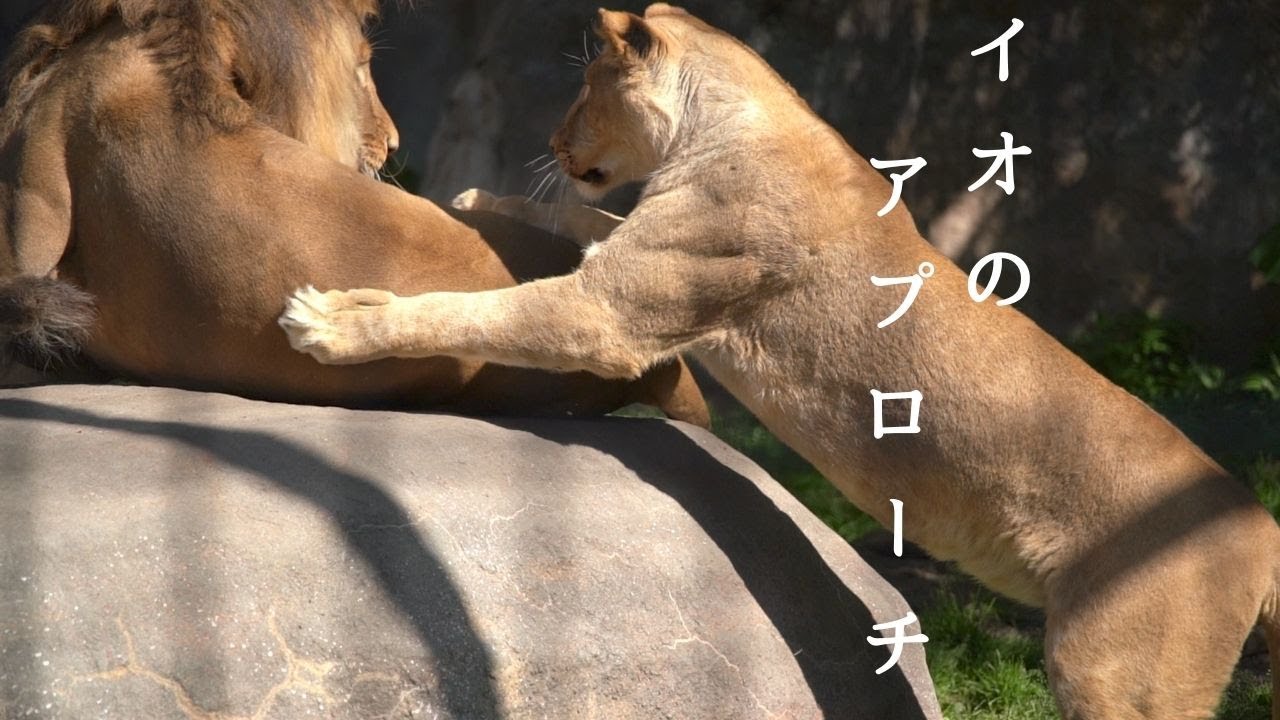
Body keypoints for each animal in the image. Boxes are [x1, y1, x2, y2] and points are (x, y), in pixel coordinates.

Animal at [281, 5, 1280, 718]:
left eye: (584, 92)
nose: (556, 144)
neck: (725, 124)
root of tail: (1261, 526)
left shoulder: (605, 314)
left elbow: (473, 310)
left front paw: (334, 320)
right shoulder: (624, 265)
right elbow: (571, 215)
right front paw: (476, 196)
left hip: (1117, 673)